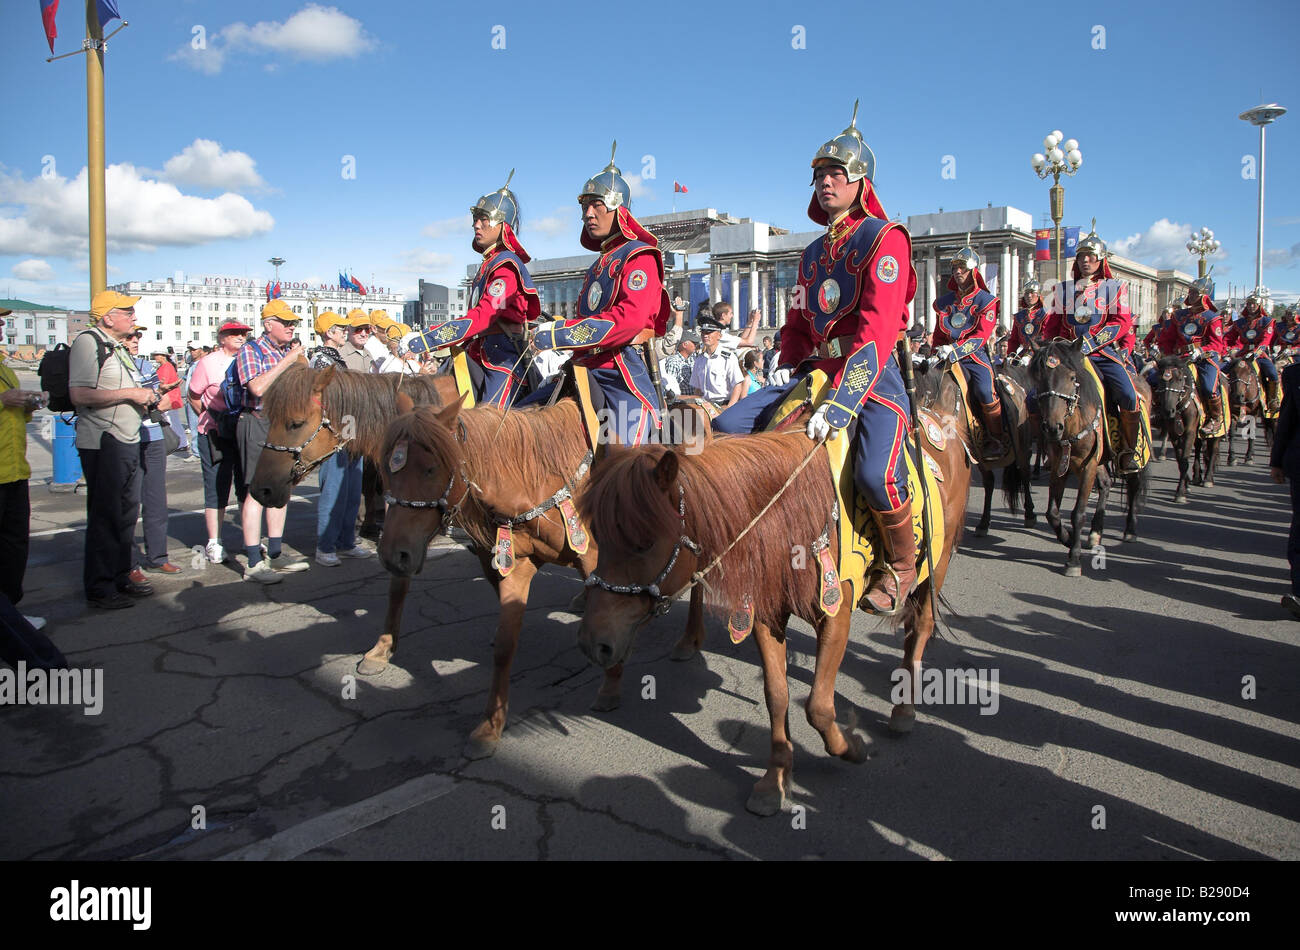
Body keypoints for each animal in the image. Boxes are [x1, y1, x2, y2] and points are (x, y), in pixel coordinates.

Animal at [377, 397, 707, 764]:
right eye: (387, 469)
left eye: (430, 469)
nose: (393, 554)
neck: (536, 477)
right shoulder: (516, 564)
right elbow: (505, 644)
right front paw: (490, 727)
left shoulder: (598, 559)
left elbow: (610, 614)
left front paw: (611, 682)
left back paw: (689, 640)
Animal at [574, 415, 972, 816]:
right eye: (598, 535)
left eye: (644, 543)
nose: (594, 644)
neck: (790, 512)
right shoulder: (768, 617)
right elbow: (777, 695)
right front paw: (775, 779)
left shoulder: (835, 616)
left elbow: (818, 706)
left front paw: (852, 747)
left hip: (937, 564)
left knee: (919, 629)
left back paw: (904, 708)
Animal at [1024, 343, 1149, 579]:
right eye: (1038, 377)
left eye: (1072, 377)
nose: (1052, 427)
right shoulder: (1060, 465)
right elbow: (1052, 513)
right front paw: (1067, 538)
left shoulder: (1087, 466)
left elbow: (1078, 513)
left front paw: (1073, 558)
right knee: (1106, 485)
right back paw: (1095, 533)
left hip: (1133, 455)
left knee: (1134, 485)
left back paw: (1130, 530)